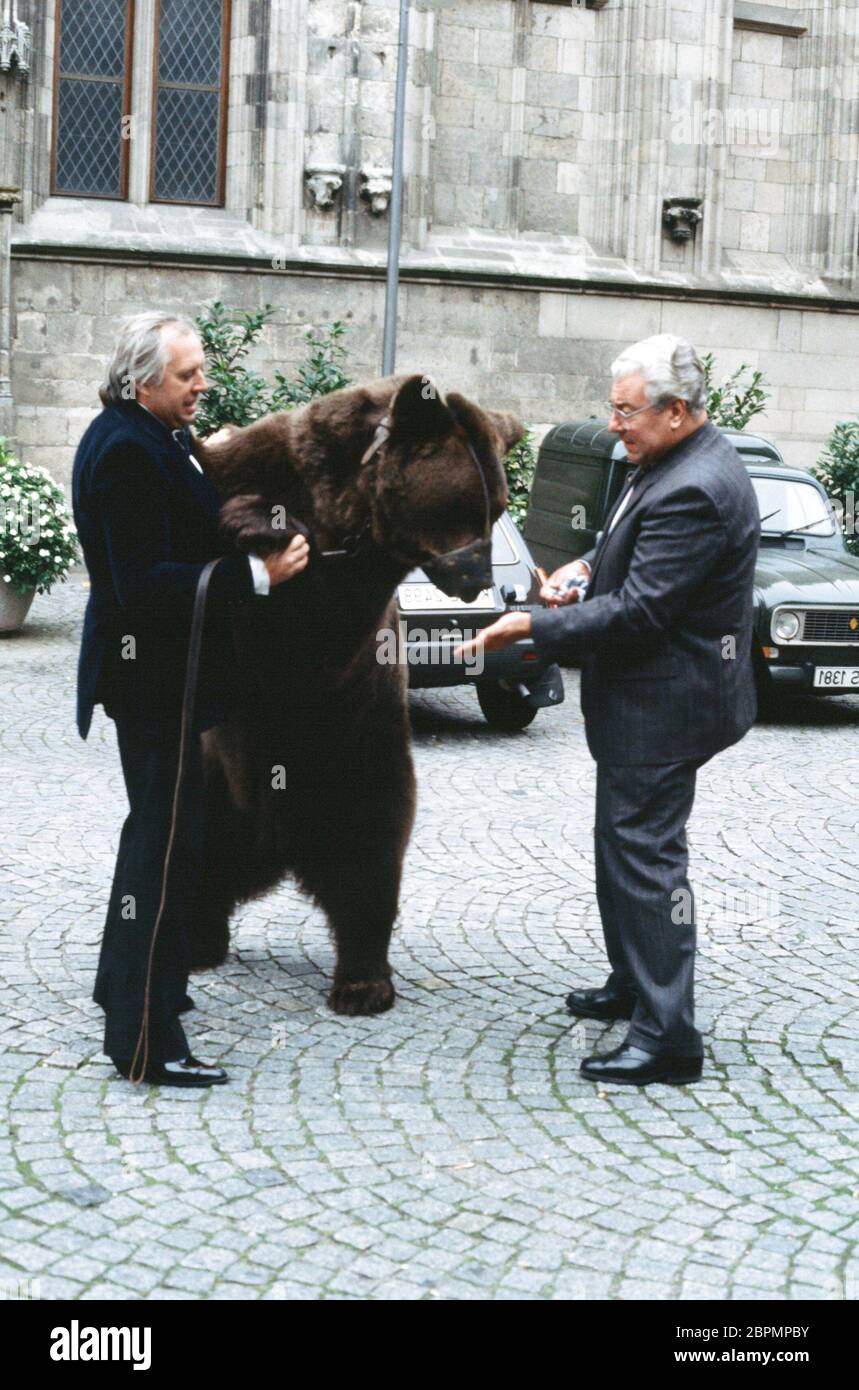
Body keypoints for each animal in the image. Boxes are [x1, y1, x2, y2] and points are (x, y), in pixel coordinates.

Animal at [190, 375, 517, 1017]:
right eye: (468, 506)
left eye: (498, 508)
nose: (476, 582)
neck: (346, 511)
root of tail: (279, 847)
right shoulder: (255, 466)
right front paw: (260, 523)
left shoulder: (357, 602)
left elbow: (321, 633)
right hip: (214, 776)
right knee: (196, 856)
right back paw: (194, 939)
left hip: (361, 759)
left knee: (368, 868)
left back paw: (362, 983)